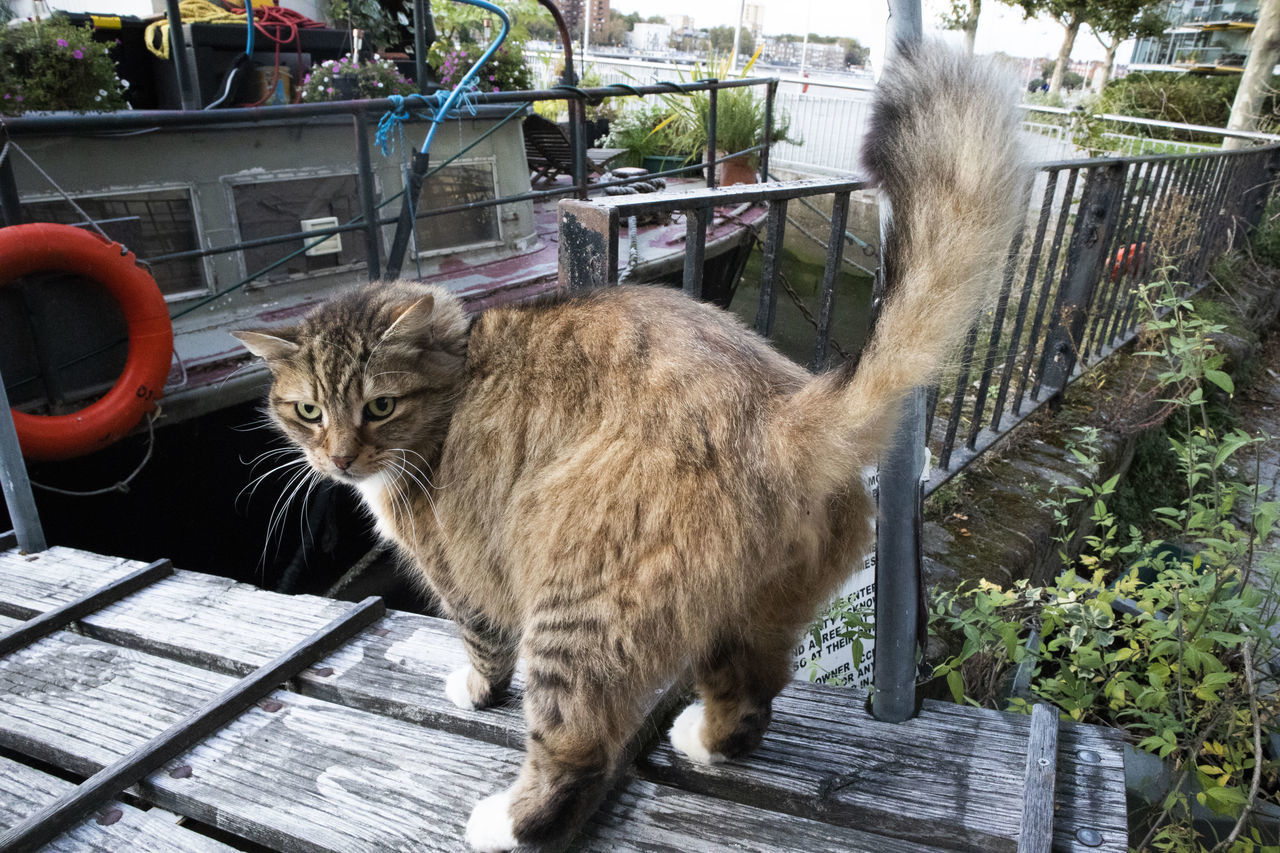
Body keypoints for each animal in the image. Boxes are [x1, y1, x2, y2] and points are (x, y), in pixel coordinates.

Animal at [235, 44, 1024, 850]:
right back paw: (702, 741)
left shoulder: (459, 573)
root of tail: (779, 413)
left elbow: (483, 649)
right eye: (307, 411)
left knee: (576, 751)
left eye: (379, 407)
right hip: (751, 617)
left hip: (576, 607)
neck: (454, 374)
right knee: (751, 702)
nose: (338, 459)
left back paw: (507, 821)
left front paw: (474, 690)